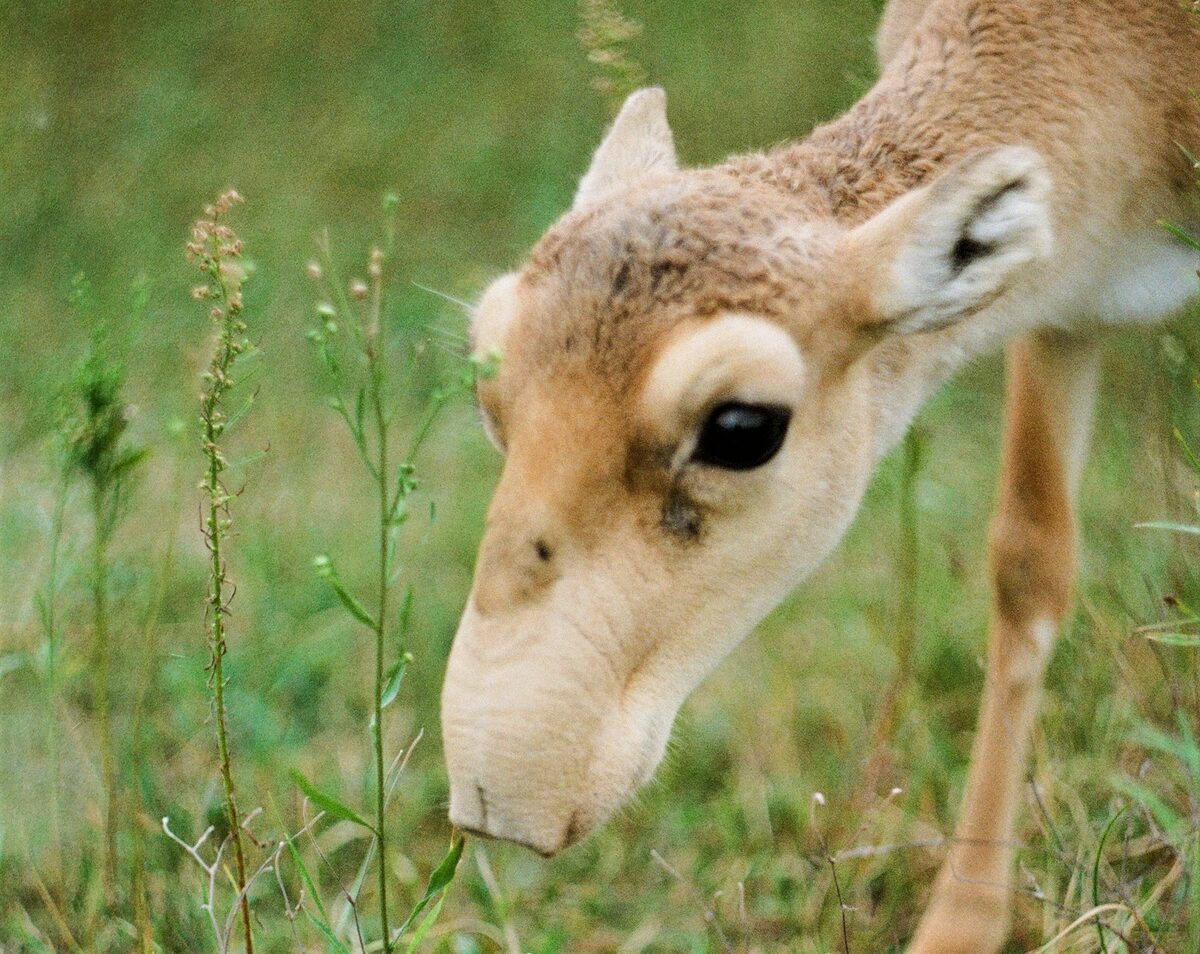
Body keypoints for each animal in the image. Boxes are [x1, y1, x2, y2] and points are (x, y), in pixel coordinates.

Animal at [441, 0, 1200, 945]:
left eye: (741, 427)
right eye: (488, 382)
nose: (500, 793)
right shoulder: (1066, 295)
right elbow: (1031, 562)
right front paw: (962, 924)